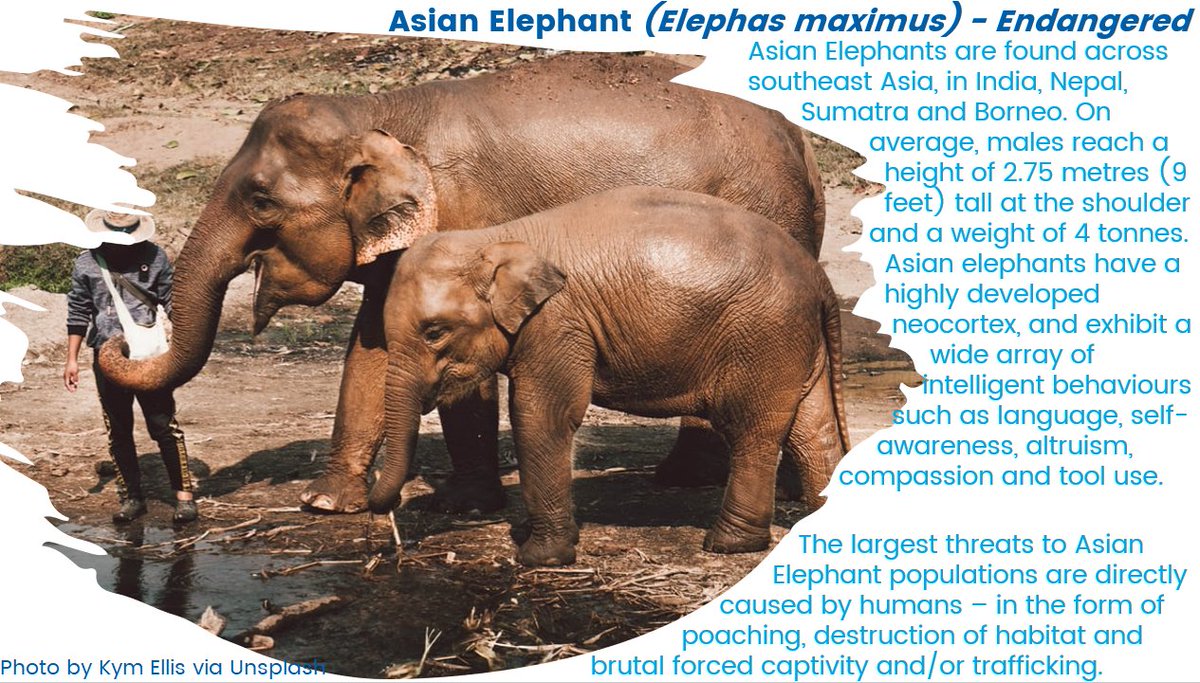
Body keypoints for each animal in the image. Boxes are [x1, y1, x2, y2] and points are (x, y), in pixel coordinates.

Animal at [98, 52, 826, 515]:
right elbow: (372, 348)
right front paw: (327, 503)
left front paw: (461, 505)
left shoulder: (465, 219)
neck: (379, 111)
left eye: (260, 200)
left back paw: (686, 480)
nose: (112, 341)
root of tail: (803, 145)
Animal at [366, 185, 850, 566]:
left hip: (764, 336)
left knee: (752, 431)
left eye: (434, 332)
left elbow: (542, 417)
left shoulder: (557, 323)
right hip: (792, 342)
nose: (386, 520)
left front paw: (539, 559)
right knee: (813, 429)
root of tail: (819, 277)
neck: (496, 239)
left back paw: (727, 544)